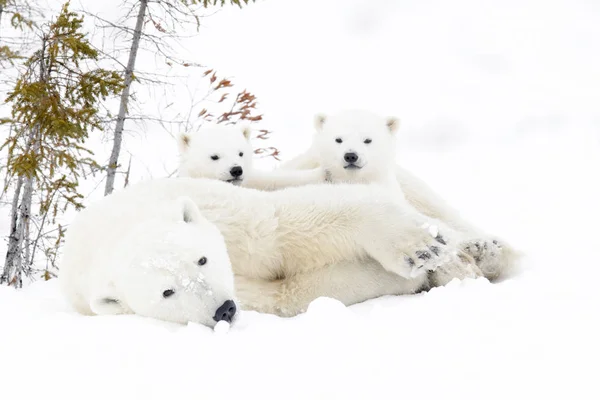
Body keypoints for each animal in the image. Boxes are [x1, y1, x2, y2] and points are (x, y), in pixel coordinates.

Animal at [57, 177, 478, 326]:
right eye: (167, 292)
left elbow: (286, 223)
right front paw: (392, 277)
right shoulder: (246, 289)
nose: (224, 309)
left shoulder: (225, 215)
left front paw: (422, 248)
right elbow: (286, 294)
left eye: (202, 258)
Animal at [178, 124, 326, 191]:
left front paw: (320, 173)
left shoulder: (251, 180)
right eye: (214, 156)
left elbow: (276, 179)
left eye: (241, 153)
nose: (236, 170)